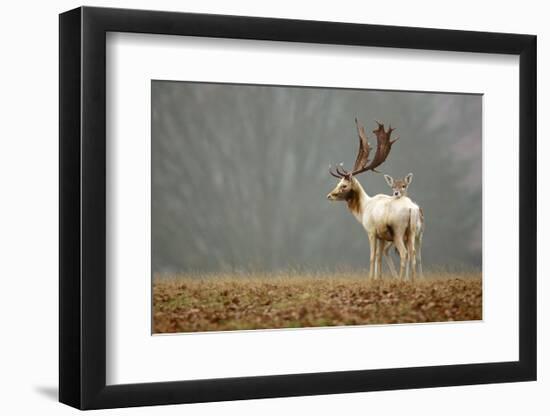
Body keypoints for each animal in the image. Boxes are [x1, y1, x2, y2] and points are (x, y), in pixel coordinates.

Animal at [328, 117, 426, 280]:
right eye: (338, 183)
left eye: (344, 185)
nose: (329, 195)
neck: (363, 209)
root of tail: (412, 209)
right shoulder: (382, 236)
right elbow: (379, 257)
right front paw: (378, 278)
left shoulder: (371, 231)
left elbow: (372, 256)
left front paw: (370, 279)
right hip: (412, 232)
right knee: (413, 254)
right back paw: (412, 280)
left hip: (399, 231)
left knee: (404, 253)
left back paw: (401, 280)